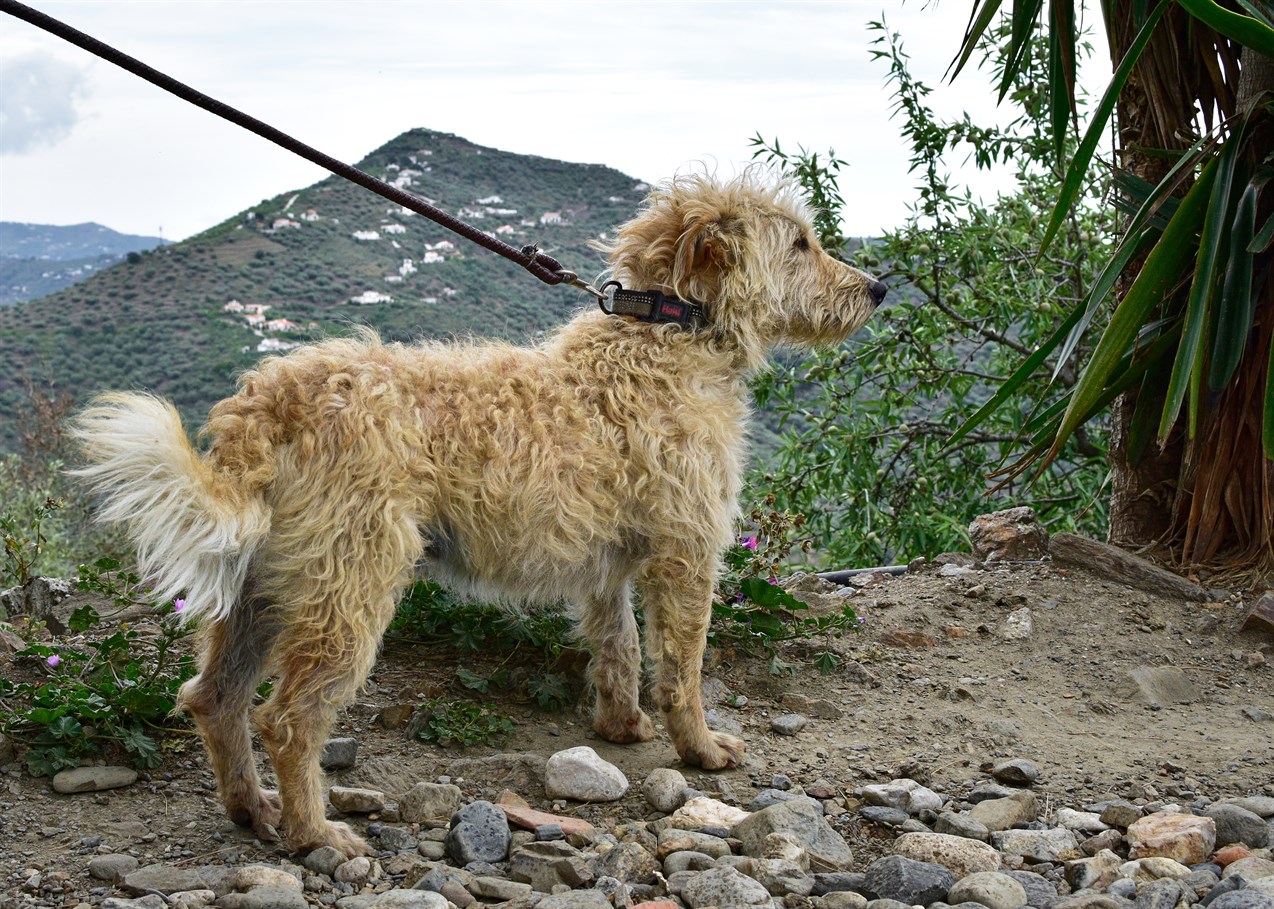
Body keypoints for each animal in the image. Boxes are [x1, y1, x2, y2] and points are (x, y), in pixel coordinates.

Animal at [72, 171, 886, 855]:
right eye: (800, 242)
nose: (879, 288)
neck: (665, 335)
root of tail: (268, 406)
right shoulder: (687, 550)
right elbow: (682, 666)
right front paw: (701, 748)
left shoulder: (608, 567)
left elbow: (618, 647)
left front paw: (621, 725)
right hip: (350, 585)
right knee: (288, 718)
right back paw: (315, 832)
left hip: (266, 588)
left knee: (215, 697)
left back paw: (252, 809)